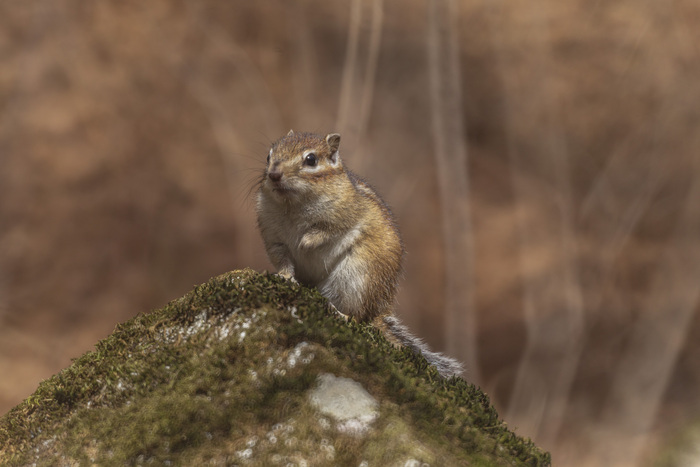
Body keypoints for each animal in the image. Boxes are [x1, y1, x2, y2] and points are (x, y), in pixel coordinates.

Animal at [256, 130, 463, 378]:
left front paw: (306, 242)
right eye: (269, 155)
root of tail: (380, 310)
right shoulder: (274, 238)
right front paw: (285, 277)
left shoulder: (345, 212)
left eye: (311, 160)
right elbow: (284, 260)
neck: (292, 205)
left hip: (356, 278)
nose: (274, 174)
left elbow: (327, 230)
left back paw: (342, 315)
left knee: (359, 317)